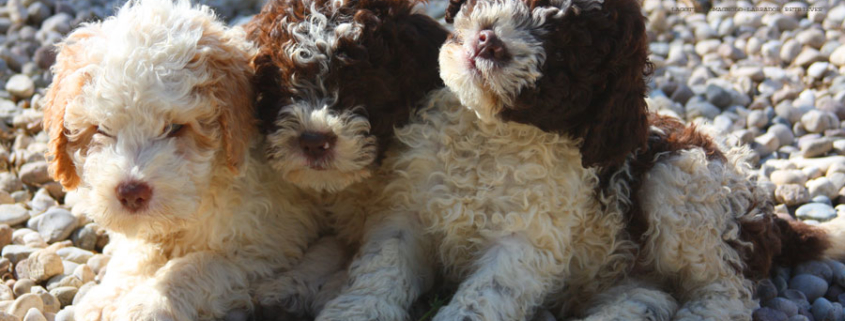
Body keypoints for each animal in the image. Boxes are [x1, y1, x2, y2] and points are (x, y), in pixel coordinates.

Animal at [318, 0, 845, 320]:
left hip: (685, 180)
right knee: (649, 293)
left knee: (727, 290)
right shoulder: (405, 215)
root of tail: (770, 214)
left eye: (570, 48)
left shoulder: (527, 243)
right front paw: (353, 311)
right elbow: (382, 269)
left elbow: (486, 294)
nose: (489, 40)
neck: (487, 131)